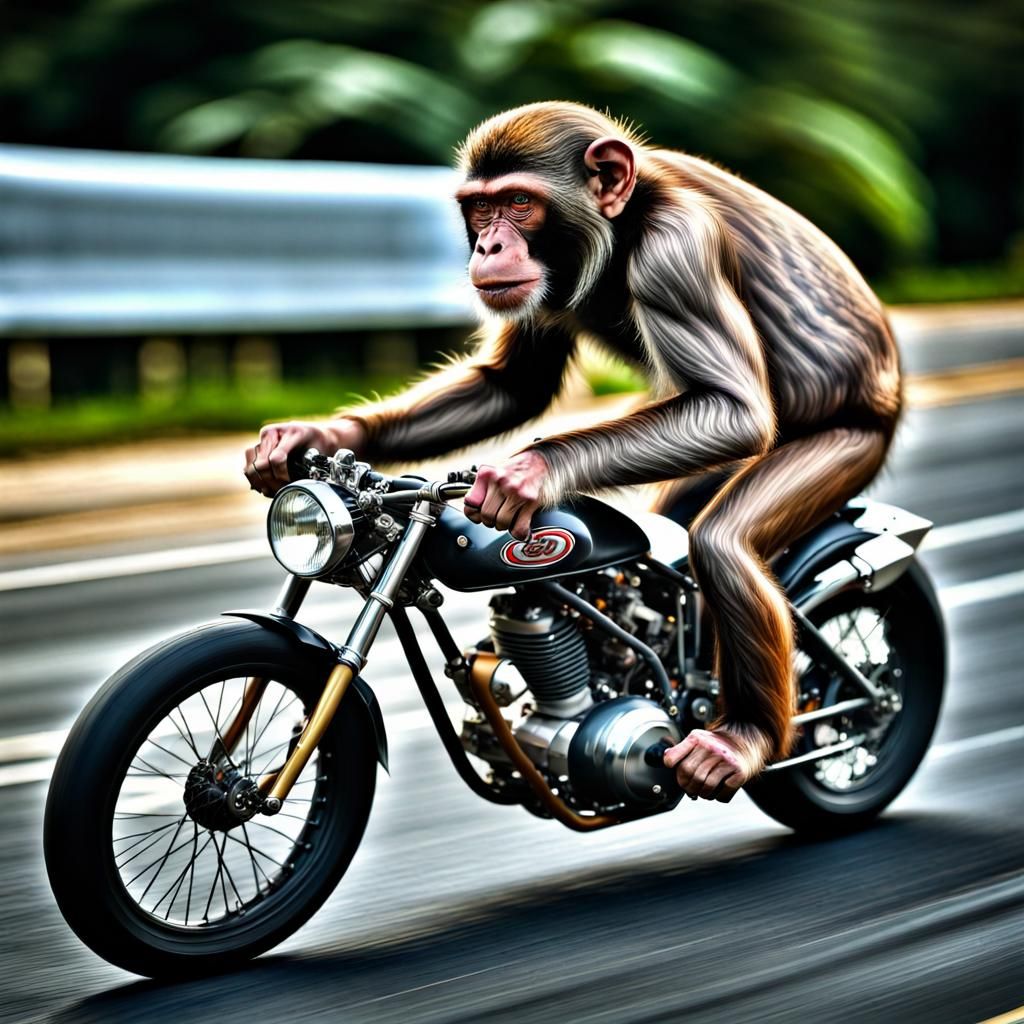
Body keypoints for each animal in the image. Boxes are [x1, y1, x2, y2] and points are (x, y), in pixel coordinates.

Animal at [245, 101, 902, 803]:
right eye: (480, 208)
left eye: (518, 202)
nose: (488, 246)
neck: (622, 225)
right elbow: (513, 384)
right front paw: (304, 443)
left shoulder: (676, 252)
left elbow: (736, 409)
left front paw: (521, 477)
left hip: (852, 446)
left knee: (742, 562)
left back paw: (745, 742)